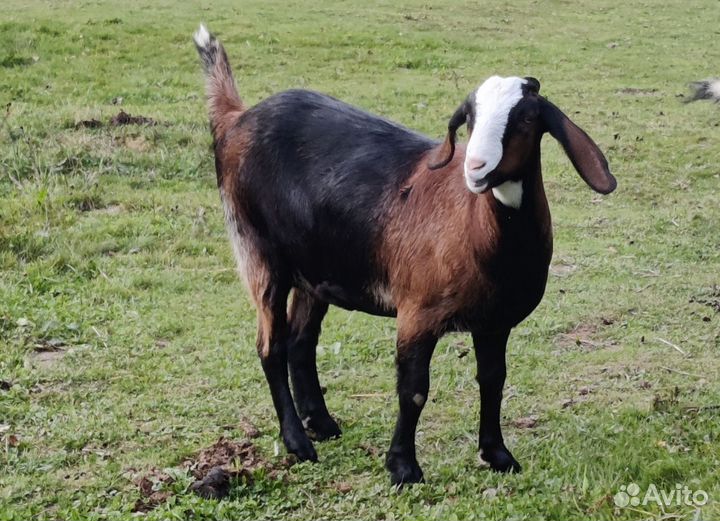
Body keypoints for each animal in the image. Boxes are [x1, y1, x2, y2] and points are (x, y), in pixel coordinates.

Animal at [193, 24, 616, 485]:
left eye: (525, 117)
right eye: (469, 119)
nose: (476, 167)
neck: (483, 236)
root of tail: (237, 118)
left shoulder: (495, 320)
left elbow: (493, 381)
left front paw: (498, 455)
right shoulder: (418, 312)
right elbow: (413, 391)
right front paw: (403, 467)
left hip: (316, 268)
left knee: (301, 342)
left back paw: (322, 424)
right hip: (258, 251)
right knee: (271, 346)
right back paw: (298, 443)